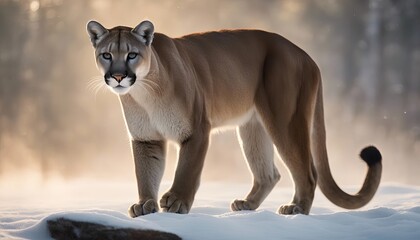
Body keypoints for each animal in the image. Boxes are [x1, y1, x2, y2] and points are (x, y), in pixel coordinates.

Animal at [87, 19, 382, 217]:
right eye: (107, 55)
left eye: (132, 55)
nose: (118, 76)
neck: (144, 94)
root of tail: (306, 56)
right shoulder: (146, 139)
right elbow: (145, 173)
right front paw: (145, 204)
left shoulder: (196, 130)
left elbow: (187, 169)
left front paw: (177, 202)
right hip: (254, 127)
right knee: (269, 174)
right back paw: (246, 205)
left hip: (285, 120)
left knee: (308, 173)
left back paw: (296, 208)